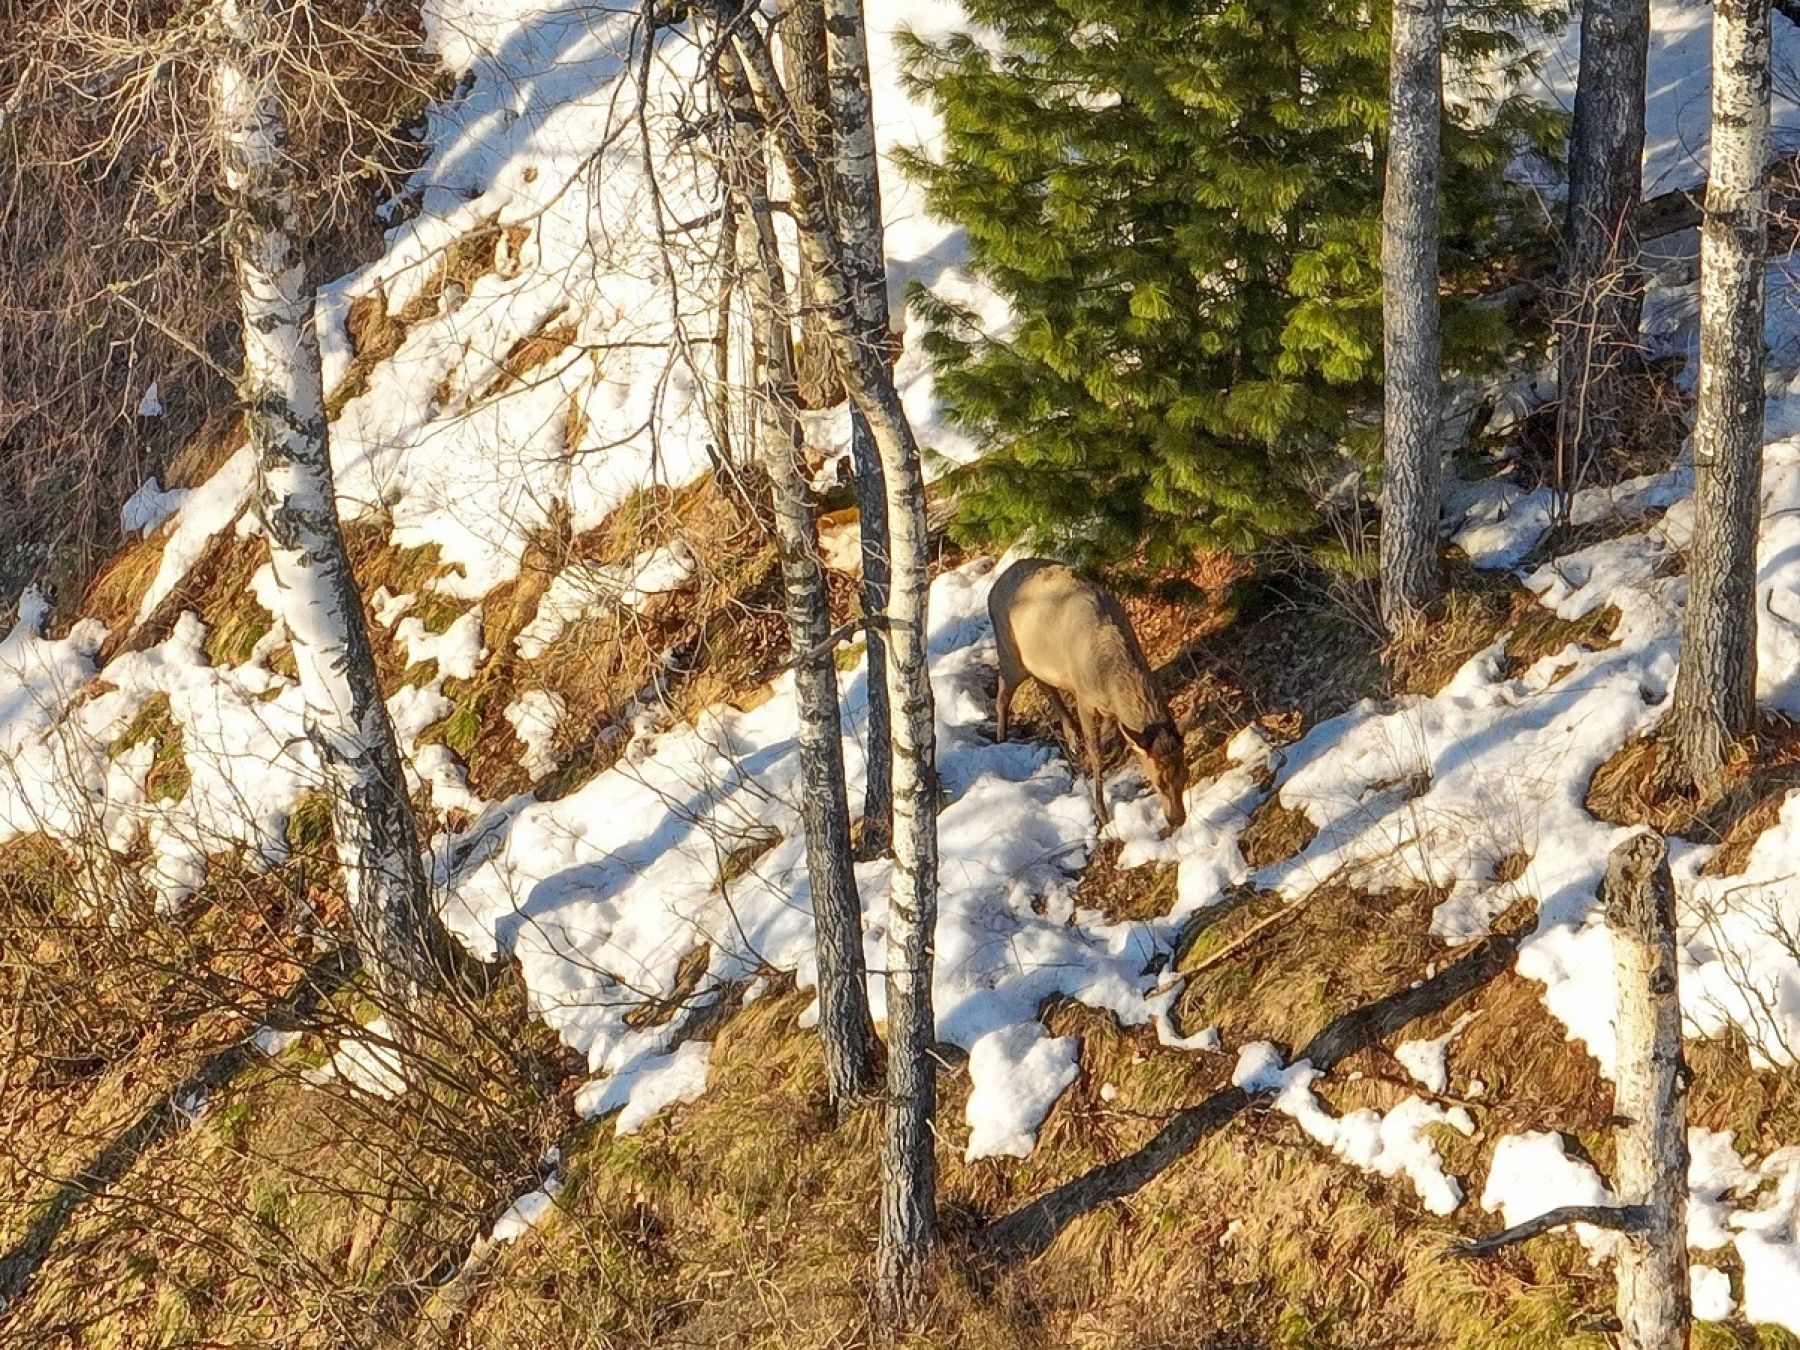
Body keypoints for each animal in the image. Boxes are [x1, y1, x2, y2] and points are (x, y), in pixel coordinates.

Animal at [993, 554, 1188, 831]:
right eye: (1158, 781)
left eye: (1186, 773)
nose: (1177, 818)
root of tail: (995, 585)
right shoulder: (1084, 697)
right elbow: (1096, 752)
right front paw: (1101, 811)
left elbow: (1107, 735)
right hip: (1009, 653)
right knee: (1002, 695)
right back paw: (1001, 740)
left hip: (1038, 662)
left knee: (1045, 686)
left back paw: (1071, 736)